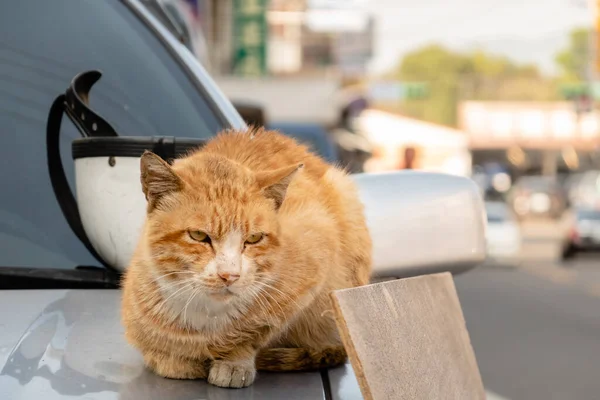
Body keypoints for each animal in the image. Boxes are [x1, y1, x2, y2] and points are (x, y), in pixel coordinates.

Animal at [120, 128, 372, 388]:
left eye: (254, 238)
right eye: (198, 235)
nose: (229, 275)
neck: (206, 315)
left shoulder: (314, 266)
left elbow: (254, 333)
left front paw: (234, 361)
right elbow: (160, 352)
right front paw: (175, 360)